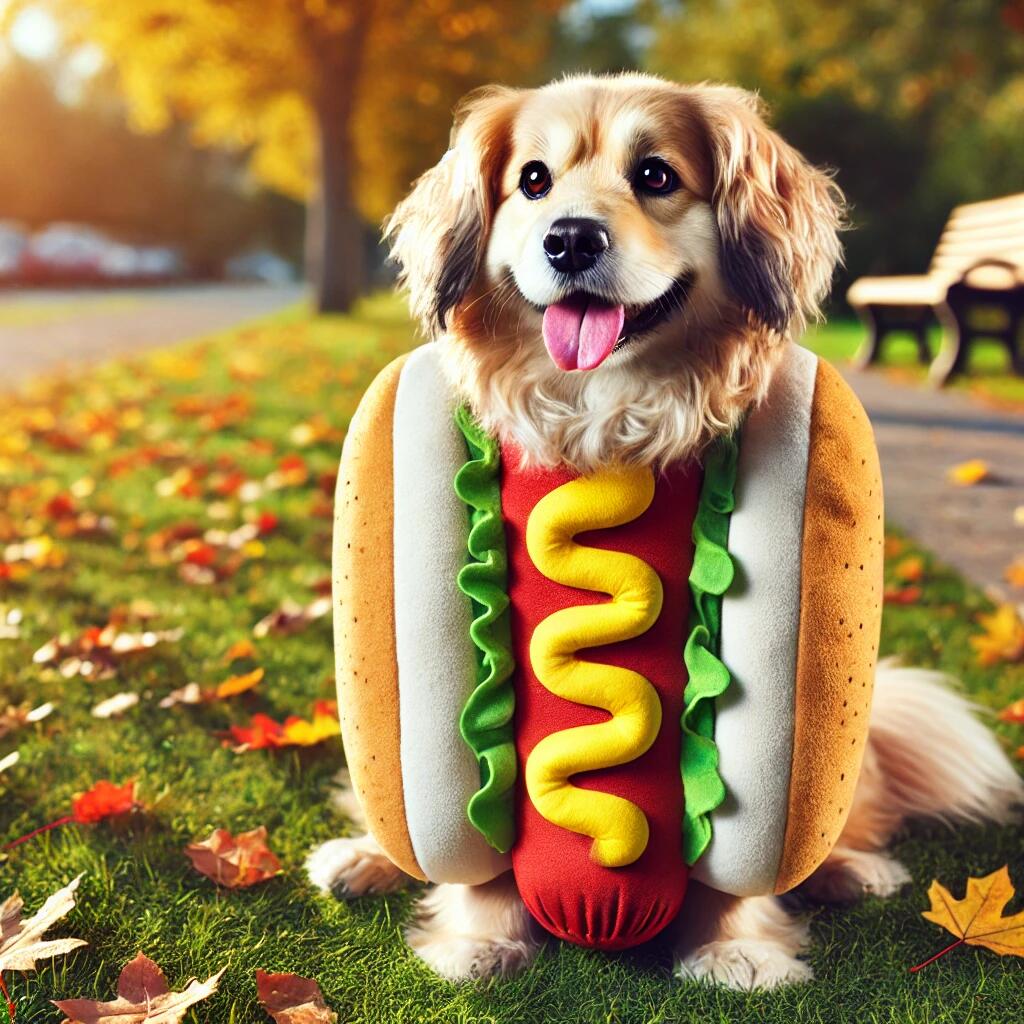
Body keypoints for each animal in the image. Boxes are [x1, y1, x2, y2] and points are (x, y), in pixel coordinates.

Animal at [305, 74, 1024, 991]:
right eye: (532, 181)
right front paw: (479, 939)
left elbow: (729, 847)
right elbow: (484, 835)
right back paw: (360, 858)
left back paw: (852, 869)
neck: (604, 422)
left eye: (656, 175)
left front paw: (735, 948)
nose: (569, 239)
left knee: (856, 813)